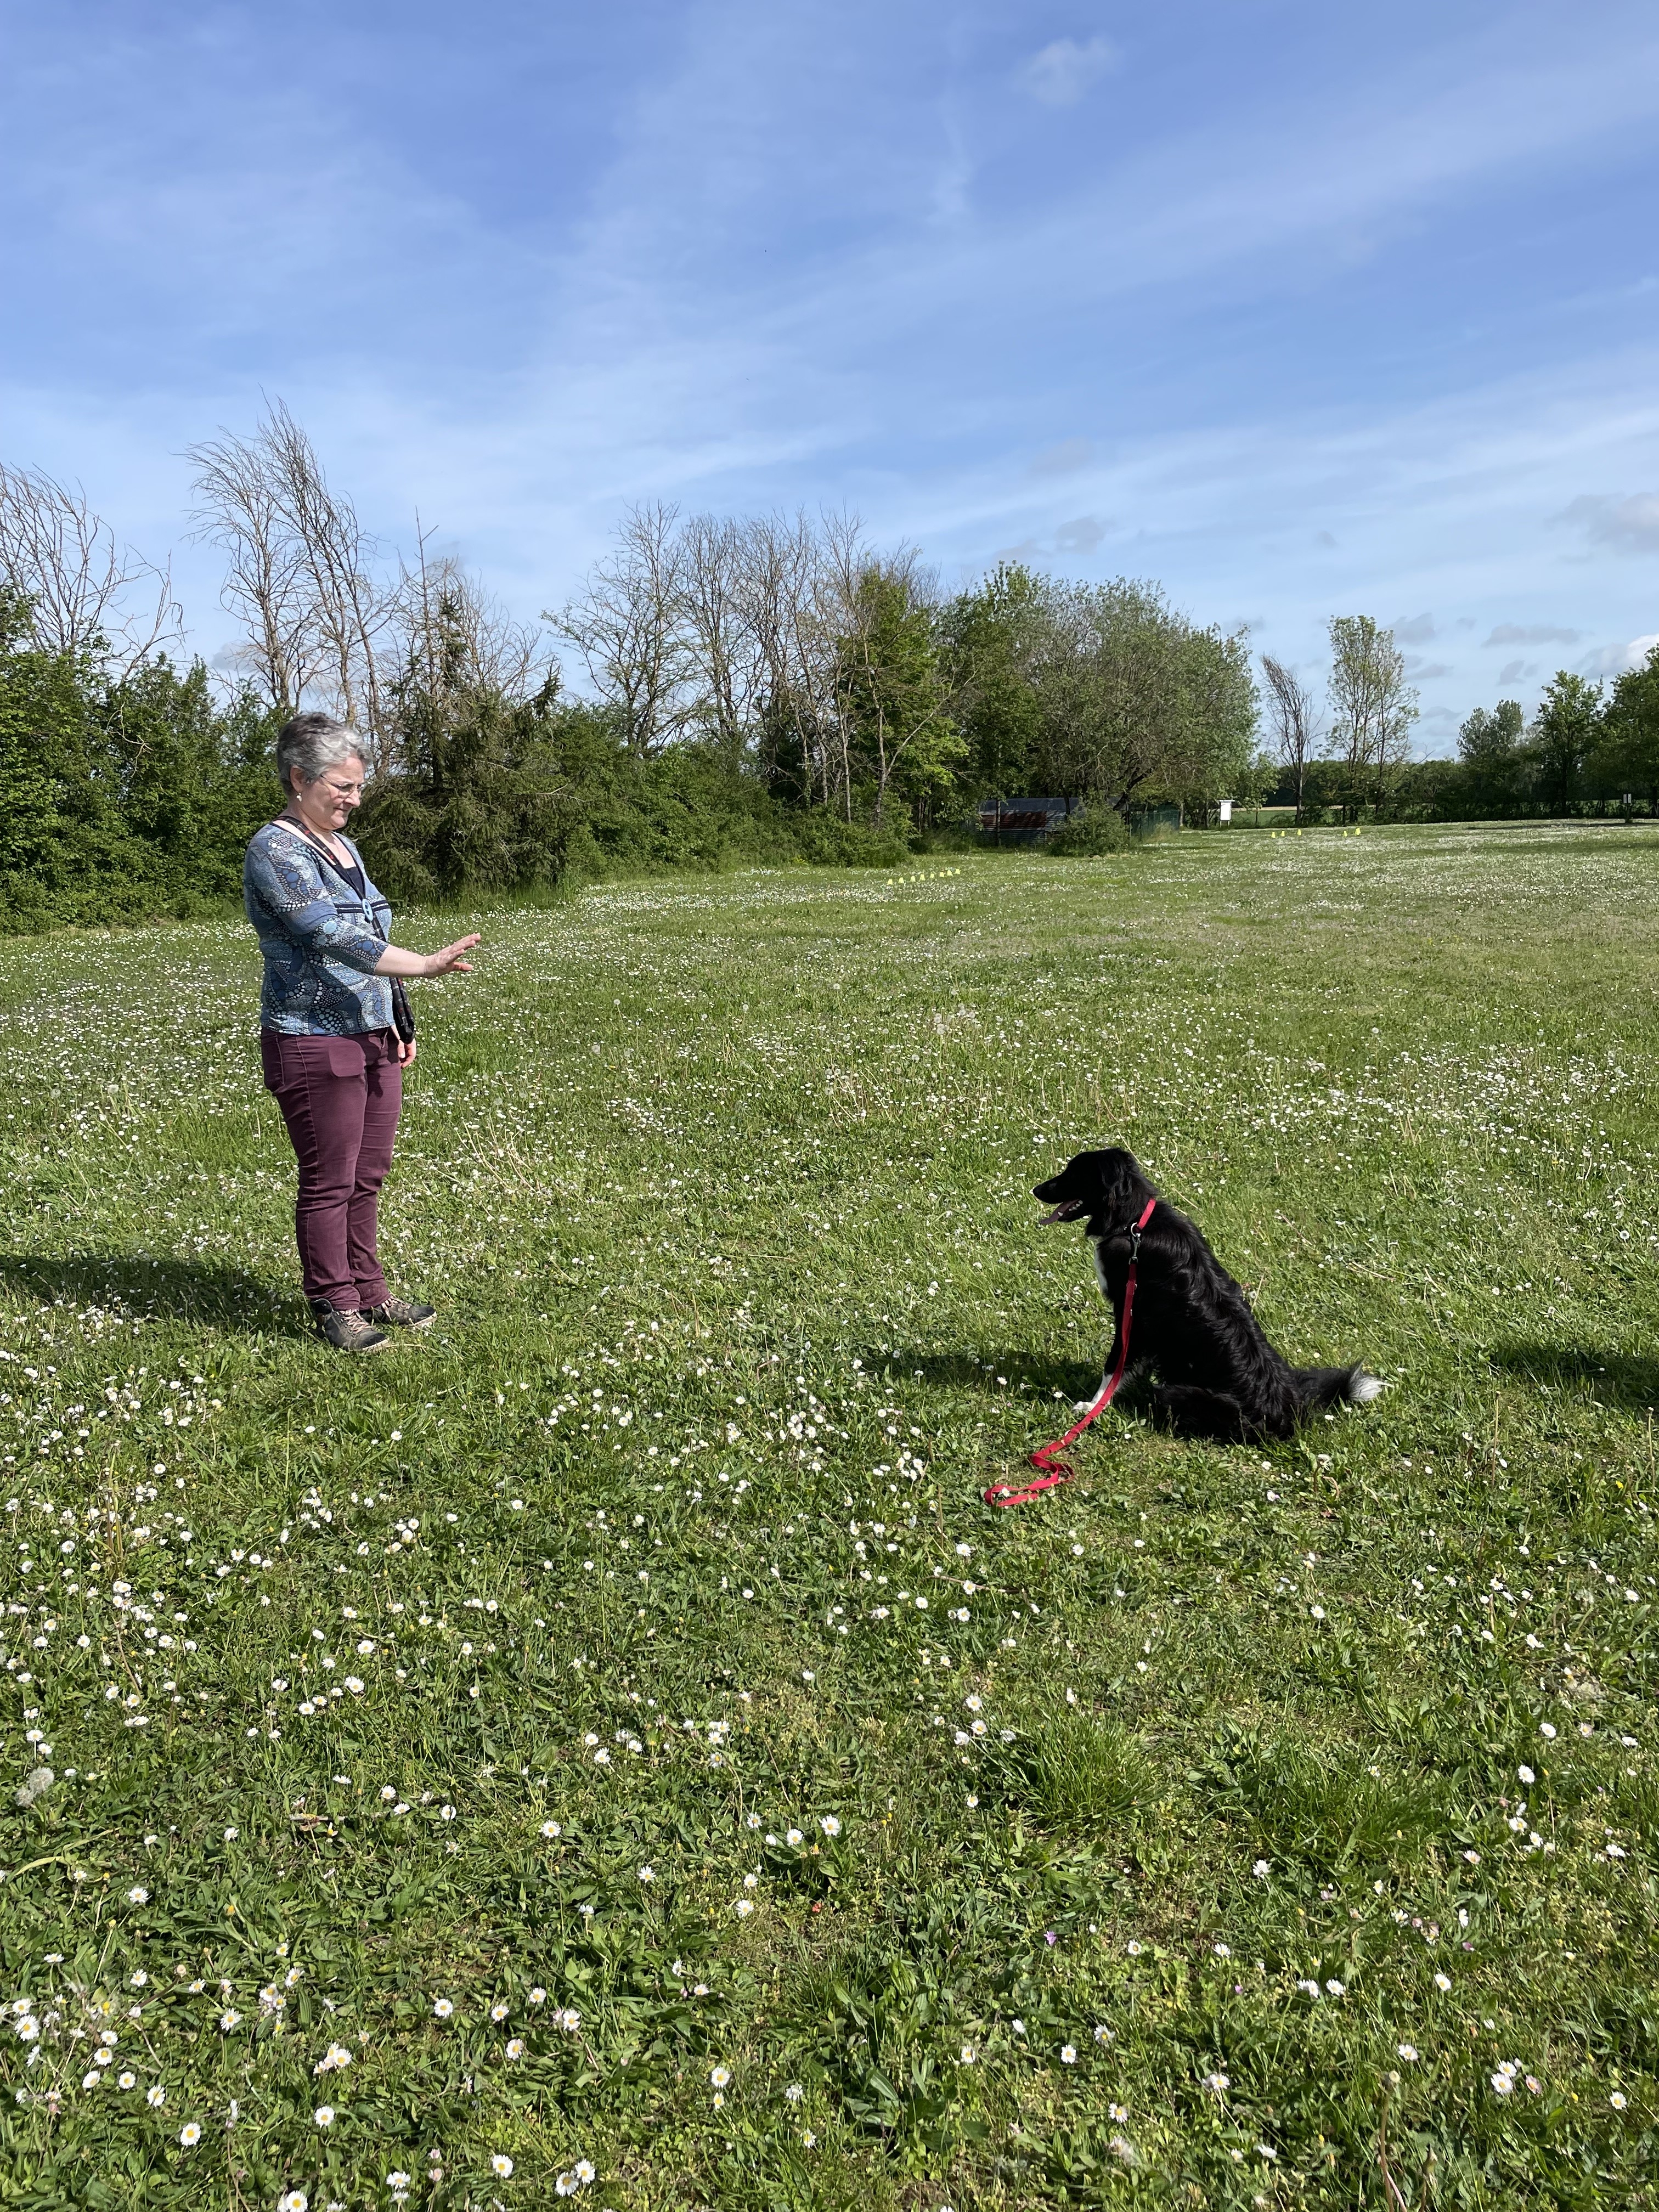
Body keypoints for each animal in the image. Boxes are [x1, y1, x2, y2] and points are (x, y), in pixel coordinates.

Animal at [1035, 1150, 1380, 1442]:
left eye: (1073, 1173)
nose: (1036, 1190)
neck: (1133, 1223)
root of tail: (1289, 1414)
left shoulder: (1130, 1312)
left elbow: (1114, 1365)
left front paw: (1092, 1406)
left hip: (1178, 1393)